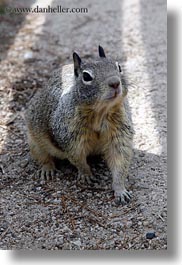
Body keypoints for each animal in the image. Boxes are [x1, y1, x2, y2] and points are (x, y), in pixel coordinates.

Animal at [24, 46, 134, 204]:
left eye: (118, 67)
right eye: (86, 76)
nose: (115, 83)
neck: (100, 112)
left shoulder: (119, 133)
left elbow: (120, 160)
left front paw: (120, 189)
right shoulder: (70, 137)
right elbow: (78, 158)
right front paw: (86, 173)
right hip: (34, 142)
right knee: (43, 157)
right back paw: (47, 169)